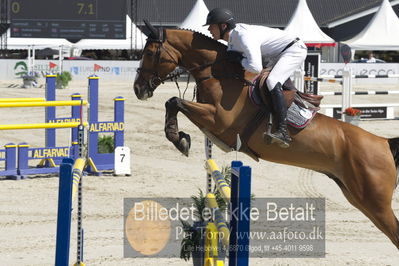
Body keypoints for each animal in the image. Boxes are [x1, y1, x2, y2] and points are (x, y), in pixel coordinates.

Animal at [134, 21, 399, 248]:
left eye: (149, 53)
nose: (138, 89)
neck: (221, 75)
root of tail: (384, 143)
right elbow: (173, 102)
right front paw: (180, 138)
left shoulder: (219, 121)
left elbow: (174, 101)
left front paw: (178, 138)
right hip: (356, 196)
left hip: (374, 203)